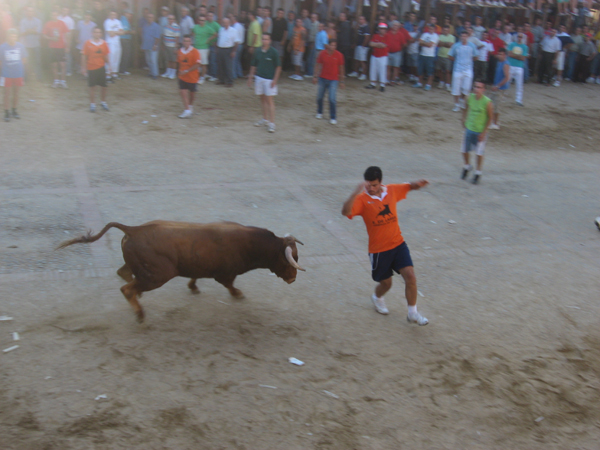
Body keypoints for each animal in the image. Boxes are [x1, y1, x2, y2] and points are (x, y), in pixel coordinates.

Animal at [57, 221, 304, 320]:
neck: (249, 243)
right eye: (289, 261)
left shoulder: (200, 265)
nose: (293, 279)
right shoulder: (225, 274)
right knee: (127, 287)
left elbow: (195, 276)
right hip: (159, 275)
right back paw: (140, 314)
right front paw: (238, 295)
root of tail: (133, 230)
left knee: (125, 274)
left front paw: (193, 287)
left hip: (145, 271)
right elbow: (230, 285)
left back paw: (139, 298)